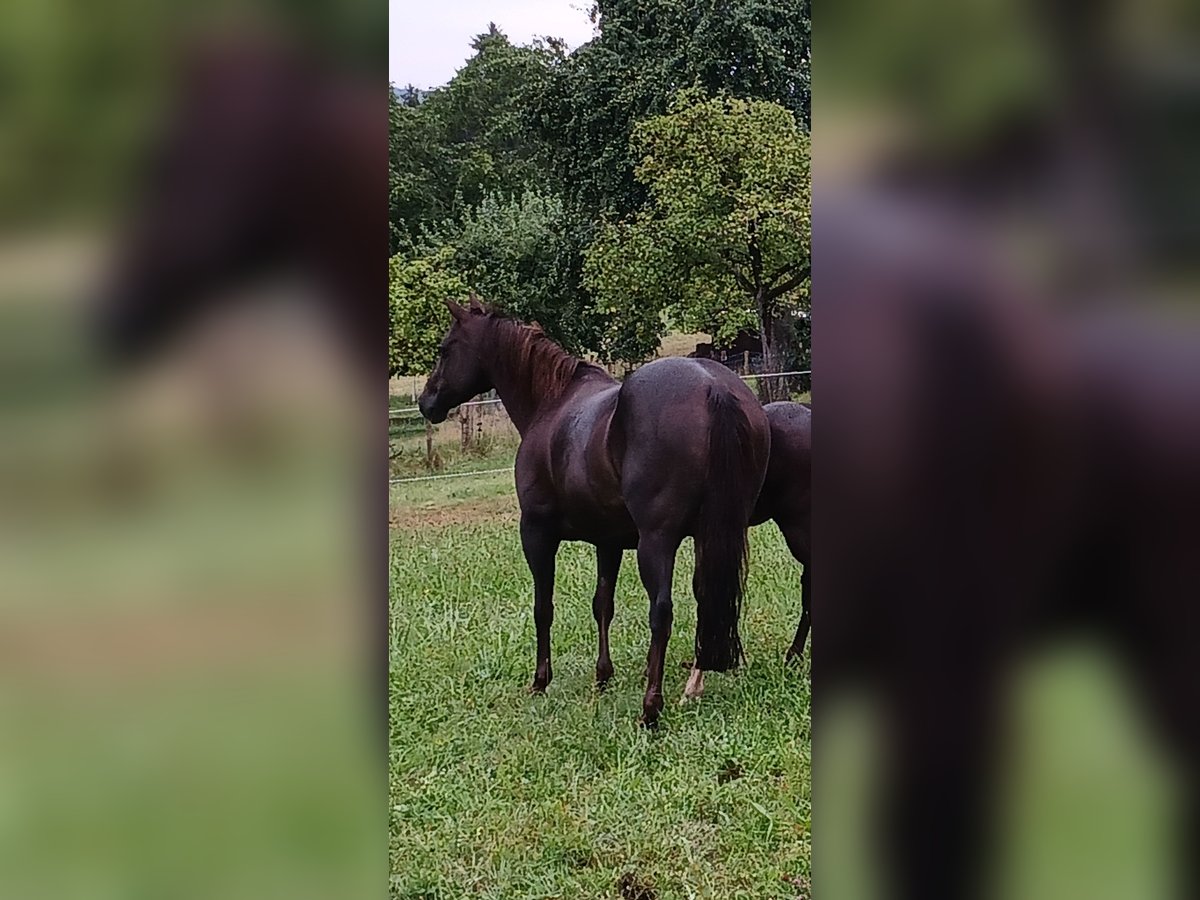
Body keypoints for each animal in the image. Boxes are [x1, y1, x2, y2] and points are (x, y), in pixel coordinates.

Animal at [415, 301, 768, 724]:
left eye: (445, 349)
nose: (426, 402)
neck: (551, 404)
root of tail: (713, 387)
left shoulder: (536, 534)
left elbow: (543, 607)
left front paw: (540, 681)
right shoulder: (608, 541)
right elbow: (603, 604)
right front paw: (603, 676)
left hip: (658, 542)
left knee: (662, 611)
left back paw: (651, 708)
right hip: (712, 534)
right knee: (707, 597)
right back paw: (692, 686)